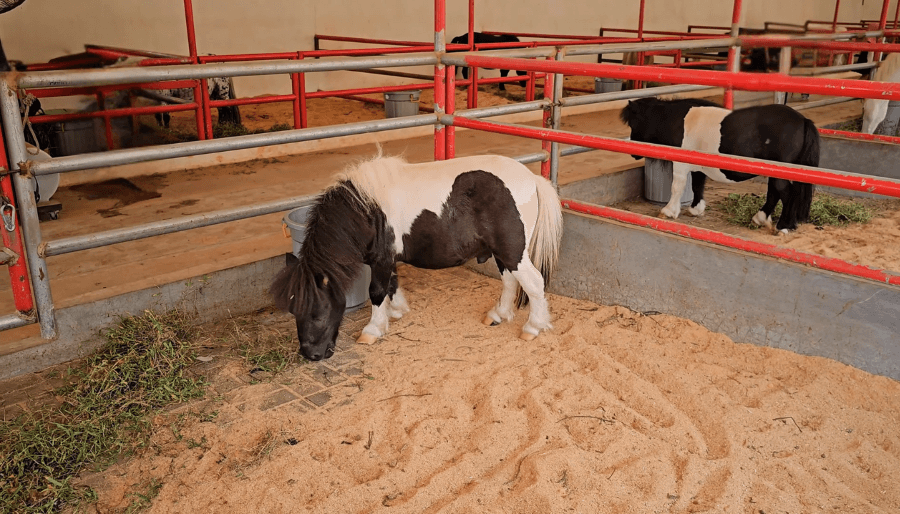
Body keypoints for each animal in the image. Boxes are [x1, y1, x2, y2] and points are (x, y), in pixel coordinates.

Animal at [270, 153, 563, 361]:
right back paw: (498, 315)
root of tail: (532, 178)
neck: (366, 210)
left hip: (513, 253)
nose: (312, 355)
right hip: (503, 253)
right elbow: (392, 285)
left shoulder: (381, 260)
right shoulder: (386, 259)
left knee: (534, 283)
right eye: (294, 310)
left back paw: (533, 327)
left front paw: (373, 330)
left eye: (317, 313)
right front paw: (396, 311)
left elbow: (377, 291)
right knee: (510, 282)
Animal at [620, 97, 819, 234]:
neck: (677, 122)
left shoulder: (681, 164)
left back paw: (783, 226)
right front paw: (696, 209)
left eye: (633, 123)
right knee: (775, 193)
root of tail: (803, 121)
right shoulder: (698, 166)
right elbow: (697, 185)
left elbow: (677, 187)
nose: (633, 153)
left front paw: (669, 211)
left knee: (785, 194)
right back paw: (760, 218)